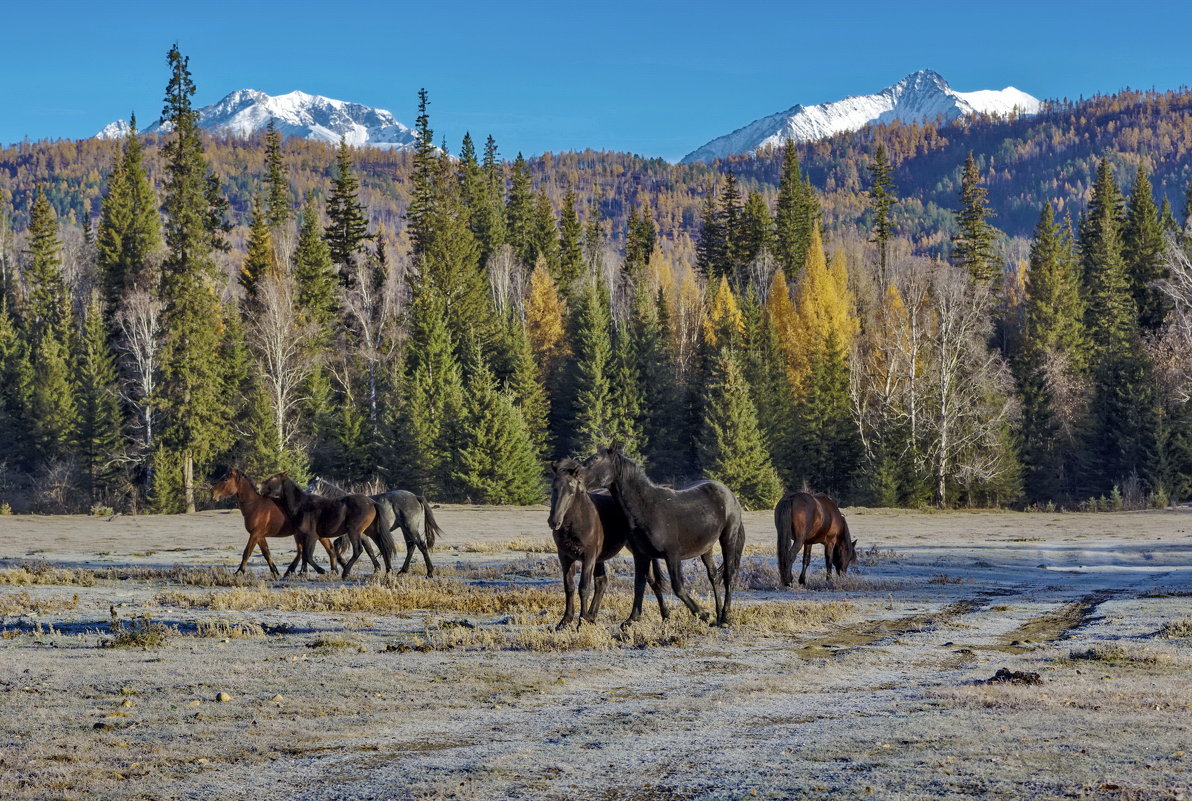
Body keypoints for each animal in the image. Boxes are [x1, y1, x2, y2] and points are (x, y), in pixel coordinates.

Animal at [258, 472, 393, 579]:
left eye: (273, 479)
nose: (259, 488)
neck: (301, 505)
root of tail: (372, 502)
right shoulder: (307, 536)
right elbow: (305, 554)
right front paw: (303, 572)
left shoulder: (311, 536)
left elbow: (307, 555)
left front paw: (322, 571)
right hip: (371, 531)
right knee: (382, 547)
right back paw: (388, 571)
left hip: (354, 532)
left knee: (358, 550)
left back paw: (346, 572)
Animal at [548, 460, 672, 629]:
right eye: (553, 487)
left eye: (572, 490)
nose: (554, 522)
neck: (576, 521)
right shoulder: (565, 557)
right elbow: (569, 587)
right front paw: (565, 621)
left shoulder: (588, 557)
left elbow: (583, 587)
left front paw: (581, 623)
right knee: (602, 582)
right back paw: (592, 617)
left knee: (651, 580)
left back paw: (665, 616)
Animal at [579, 443, 739, 624]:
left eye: (596, 459)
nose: (576, 476)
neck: (648, 508)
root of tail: (728, 493)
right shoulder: (641, 555)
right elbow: (639, 585)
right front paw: (632, 619)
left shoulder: (672, 555)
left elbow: (678, 588)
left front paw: (704, 614)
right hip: (706, 547)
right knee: (713, 576)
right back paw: (718, 616)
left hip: (728, 538)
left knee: (729, 575)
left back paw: (725, 617)